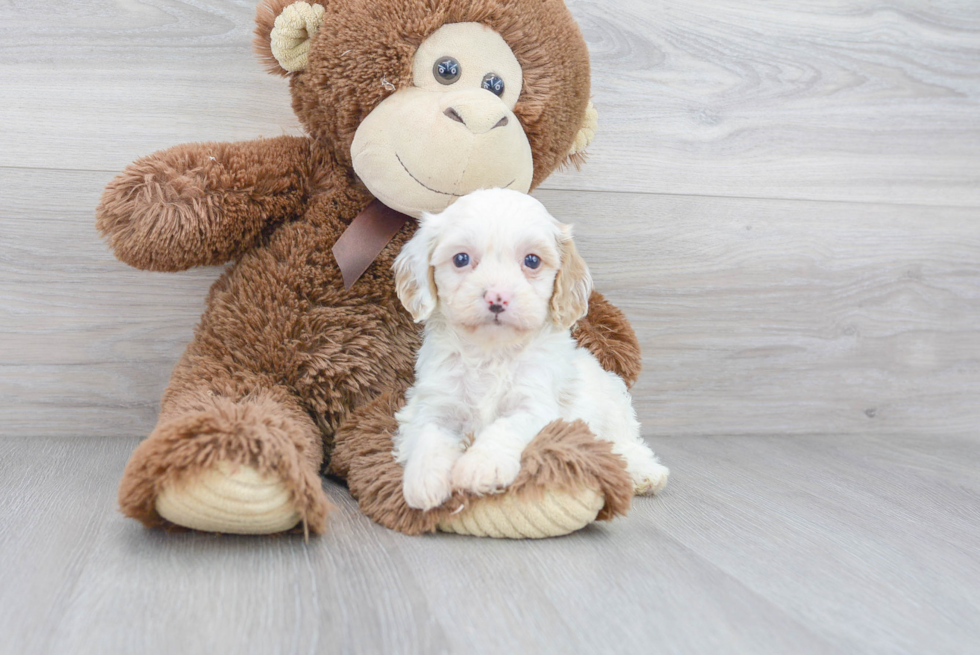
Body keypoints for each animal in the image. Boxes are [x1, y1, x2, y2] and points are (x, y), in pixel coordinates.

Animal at [390, 188, 668, 512]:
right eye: (461, 258)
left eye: (532, 261)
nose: (497, 297)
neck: (491, 352)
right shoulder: (436, 402)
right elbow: (429, 433)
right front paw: (424, 479)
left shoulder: (535, 405)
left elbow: (506, 426)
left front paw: (480, 466)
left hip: (613, 405)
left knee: (625, 443)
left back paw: (644, 472)